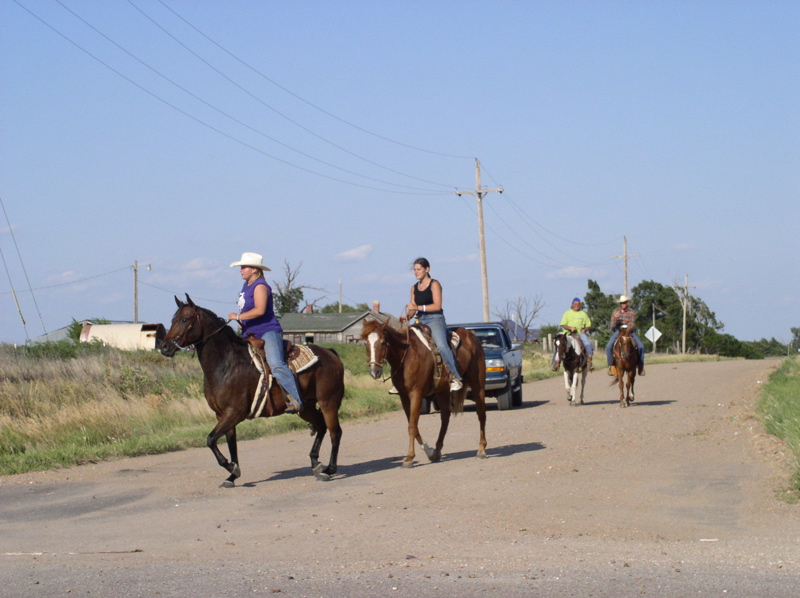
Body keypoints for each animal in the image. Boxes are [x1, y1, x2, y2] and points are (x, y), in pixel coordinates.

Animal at [159, 296, 344, 488]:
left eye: (184, 320)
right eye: (173, 320)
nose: (164, 346)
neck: (227, 363)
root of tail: (330, 353)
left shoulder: (235, 413)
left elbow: (210, 439)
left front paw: (230, 467)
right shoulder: (222, 415)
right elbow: (230, 444)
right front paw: (232, 475)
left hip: (328, 402)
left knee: (335, 432)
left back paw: (329, 469)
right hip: (305, 407)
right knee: (321, 426)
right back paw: (316, 464)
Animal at [362, 318, 488, 468]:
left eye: (382, 342)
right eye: (366, 343)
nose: (374, 372)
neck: (407, 355)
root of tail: (472, 336)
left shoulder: (416, 394)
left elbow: (412, 426)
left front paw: (409, 458)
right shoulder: (404, 397)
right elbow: (413, 425)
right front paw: (429, 451)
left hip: (477, 384)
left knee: (481, 414)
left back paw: (481, 450)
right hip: (443, 391)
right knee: (445, 418)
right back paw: (437, 451)